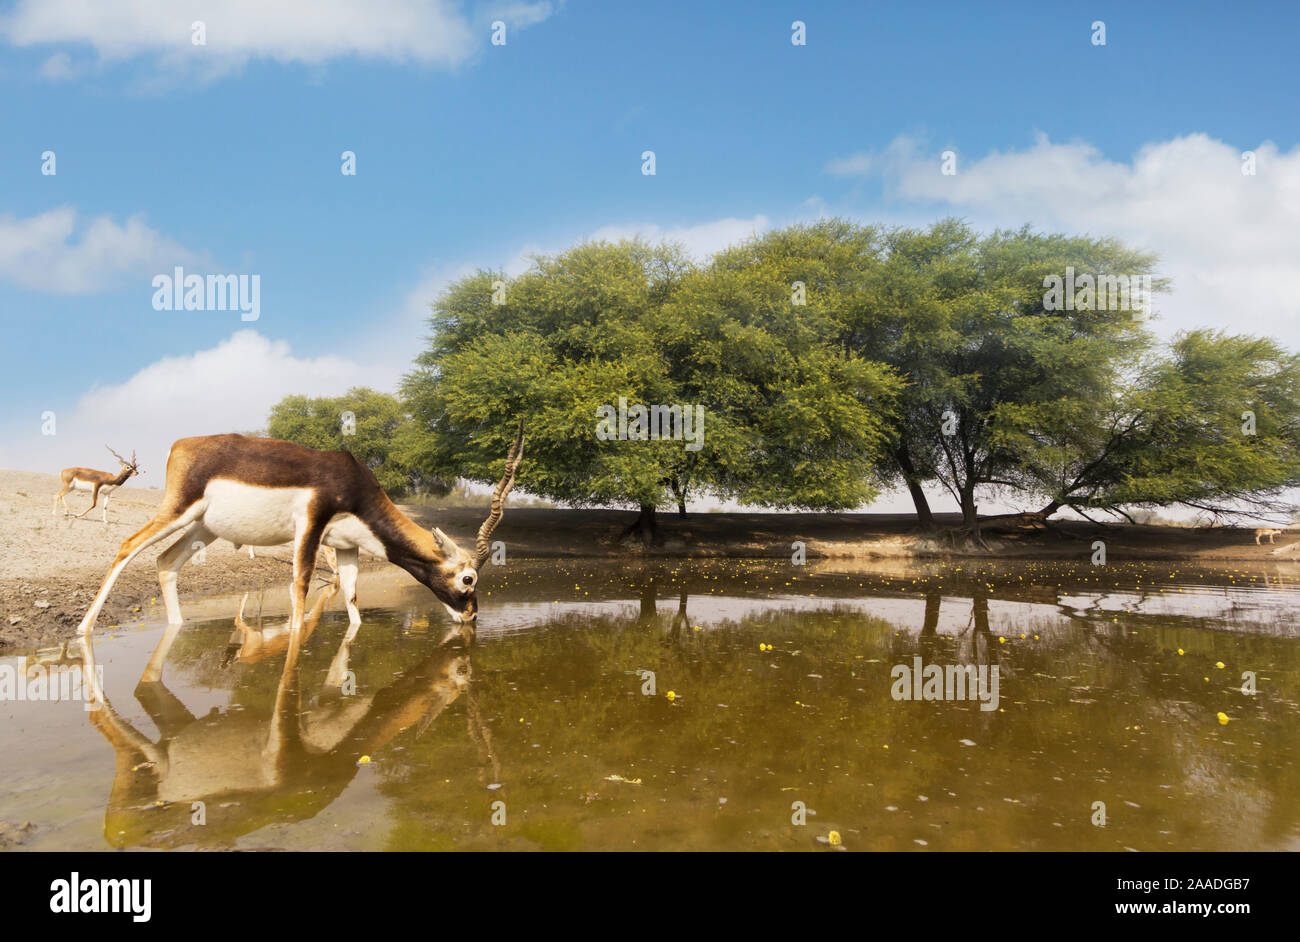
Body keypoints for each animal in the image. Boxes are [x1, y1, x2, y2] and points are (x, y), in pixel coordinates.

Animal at [74, 423, 522, 636]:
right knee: (127, 545)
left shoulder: (347, 546)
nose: (471, 617)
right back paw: (82, 629)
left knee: (166, 561)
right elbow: (301, 590)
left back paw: (176, 629)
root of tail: (181, 445)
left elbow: (353, 601)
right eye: (467, 578)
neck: (354, 484)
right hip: (178, 512)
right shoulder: (311, 526)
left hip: (204, 528)